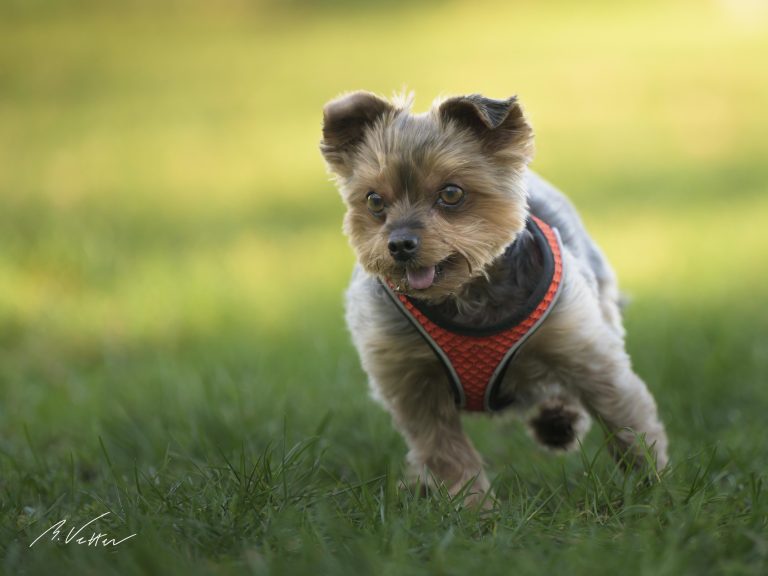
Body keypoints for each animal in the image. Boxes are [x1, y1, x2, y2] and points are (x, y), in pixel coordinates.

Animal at [318, 90, 664, 504]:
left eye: (451, 193)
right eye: (374, 201)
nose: (400, 244)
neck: (466, 294)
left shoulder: (579, 341)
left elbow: (621, 410)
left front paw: (652, 482)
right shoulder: (408, 378)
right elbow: (444, 449)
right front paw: (472, 507)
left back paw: (558, 421)